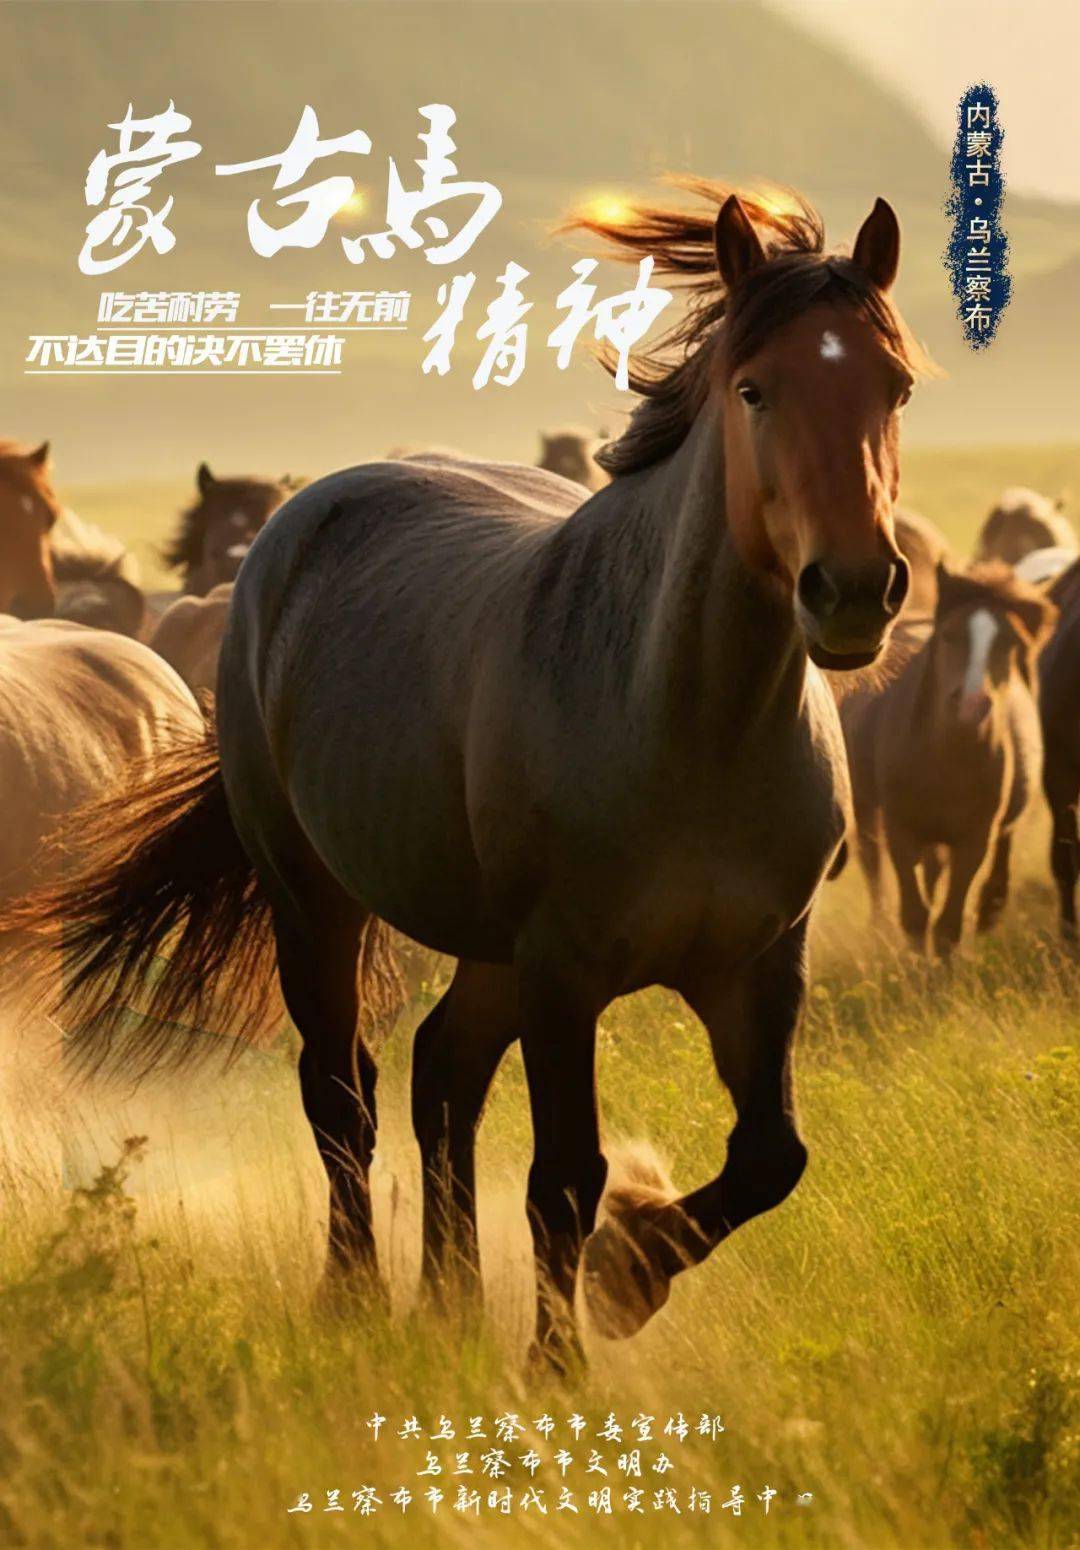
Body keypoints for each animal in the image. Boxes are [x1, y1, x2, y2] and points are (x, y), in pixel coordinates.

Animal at [842, 564, 1056, 954]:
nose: (972, 703)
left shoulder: (975, 838)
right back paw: (879, 928)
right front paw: (913, 964)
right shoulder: (900, 829)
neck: (946, 756)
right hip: (865, 805)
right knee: (872, 862)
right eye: (949, 636)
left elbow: (947, 923)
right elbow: (914, 914)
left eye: (1010, 643)